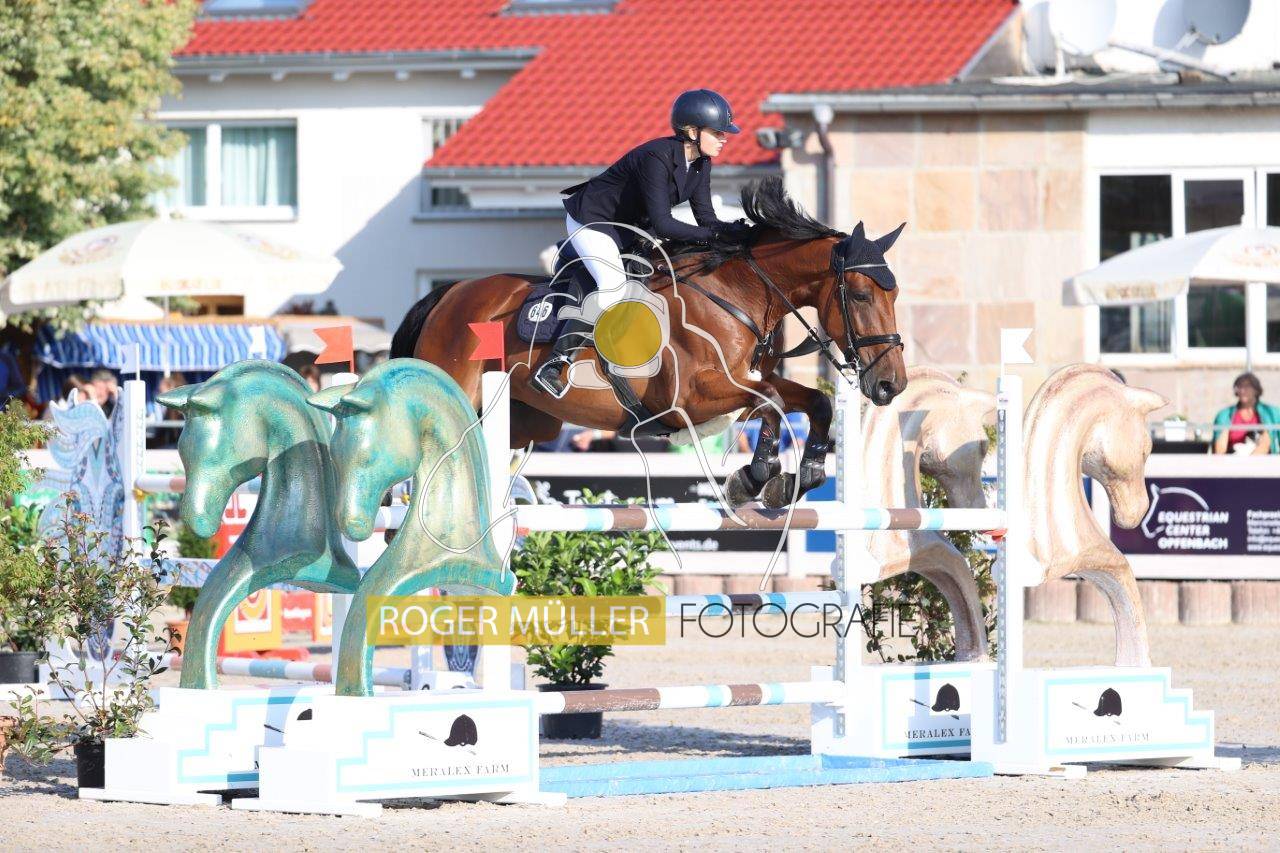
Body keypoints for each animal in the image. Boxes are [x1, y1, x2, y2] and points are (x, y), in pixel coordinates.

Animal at [390, 176, 907, 510]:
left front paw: (804, 476)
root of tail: (449, 294)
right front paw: (755, 476)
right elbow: (773, 401)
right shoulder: (692, 398)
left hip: (525, 421)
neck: (735, 293)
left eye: (895, 294)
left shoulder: (742, 381)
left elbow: (811, 402)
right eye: (860, 295)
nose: (891, 385)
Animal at [860, 367, 995, 661]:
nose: (981, 511)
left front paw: (971, 656)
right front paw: (975, 654)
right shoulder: (912, 555)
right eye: (983, 445)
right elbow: (960, 573)